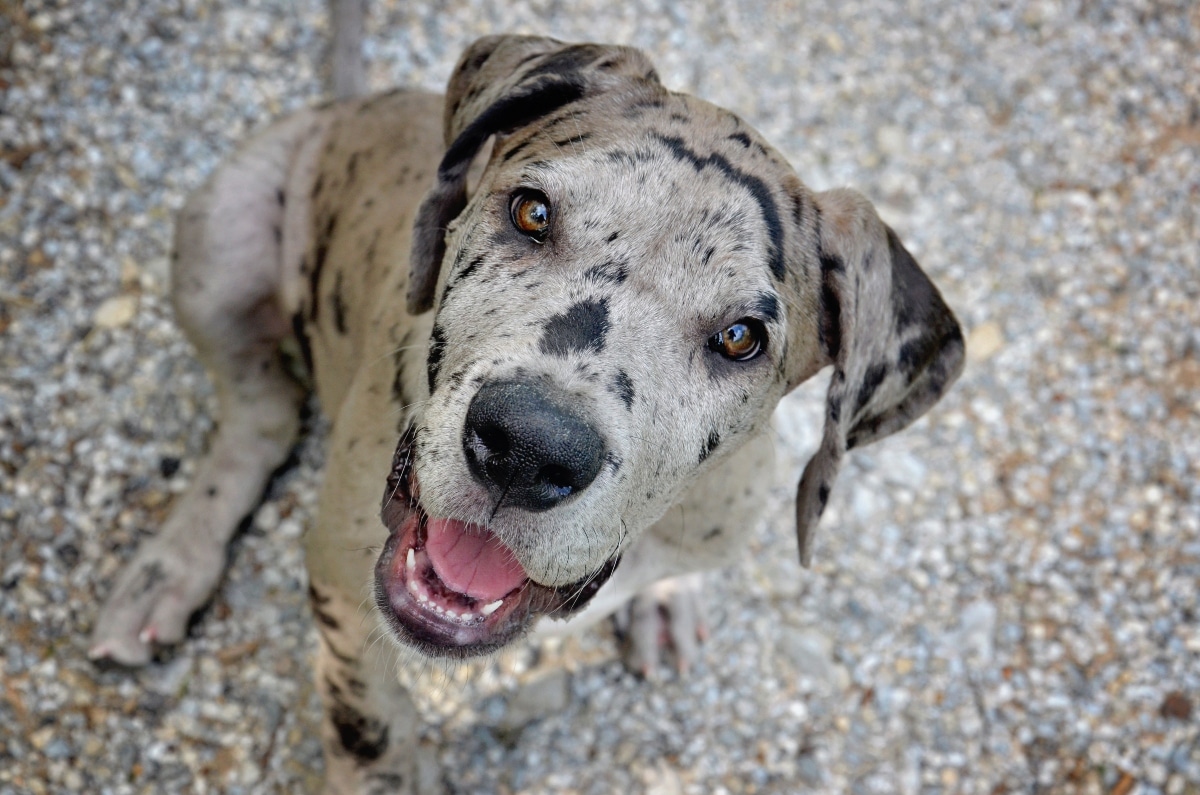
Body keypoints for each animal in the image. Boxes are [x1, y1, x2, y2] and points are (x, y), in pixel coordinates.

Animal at [88, 35, 964, 793]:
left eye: (741, 337)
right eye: (532, 212)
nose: (527, 448)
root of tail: (349, 100)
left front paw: (666, 597)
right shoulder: (338, 571)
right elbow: (368, 717)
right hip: (219, 238)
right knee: (257, 415)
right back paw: (168, 568)